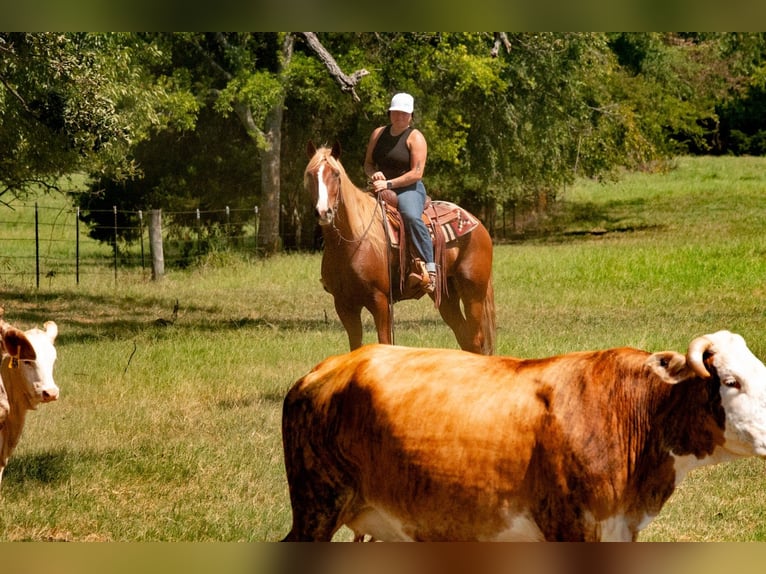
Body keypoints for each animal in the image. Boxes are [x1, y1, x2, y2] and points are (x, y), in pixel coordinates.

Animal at [304, 141, 496, 355]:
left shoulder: (380, 301)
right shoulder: (344, 305)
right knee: (466, 338)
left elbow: (385, 342)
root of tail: (477, 223)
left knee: (476, 339)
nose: (323, 212)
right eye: (310, 174)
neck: (352, 242)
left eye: (336, 174)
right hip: (447, 296)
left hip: (473, 292)